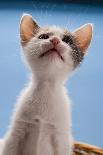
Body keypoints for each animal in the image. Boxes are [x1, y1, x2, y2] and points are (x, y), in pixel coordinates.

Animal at [0, 13, 92, 155]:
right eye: (43, 36)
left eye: (67, 40)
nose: (55, 40)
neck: (46, 88)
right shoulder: (15, 133)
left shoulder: (61, 137)